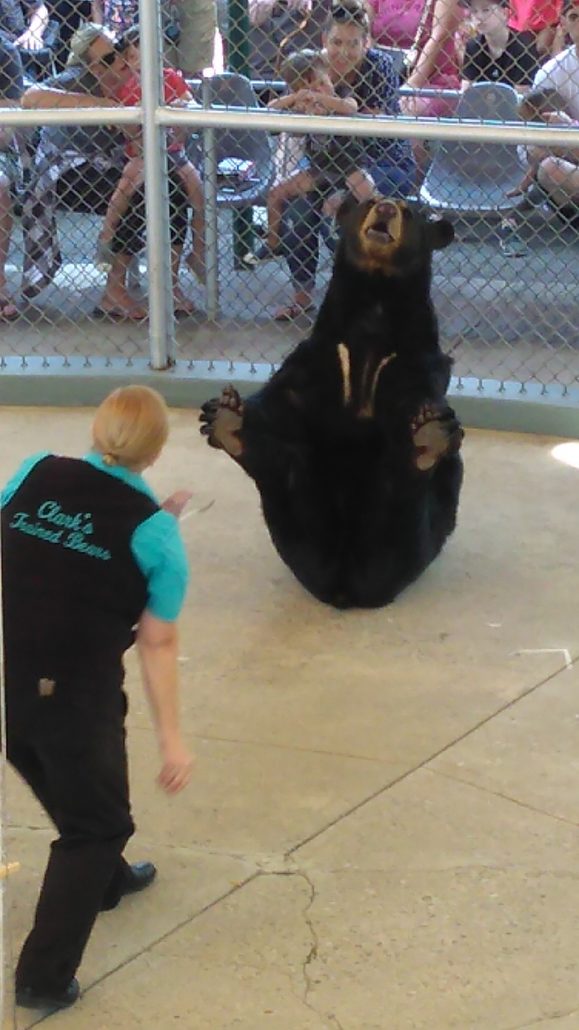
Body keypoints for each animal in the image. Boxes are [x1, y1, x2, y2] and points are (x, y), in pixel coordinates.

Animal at [200, 196, 461, 605]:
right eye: (371, 203)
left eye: (410, 212)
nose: (386, 208)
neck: (375, 300)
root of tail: (344, 584)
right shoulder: (319, 353)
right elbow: (282, 397)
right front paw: (226, 408)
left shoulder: (415, 360)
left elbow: (414, 398)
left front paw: (427, 423)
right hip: (298, 513)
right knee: (281, 463)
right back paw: (229, 424)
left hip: (416, 532)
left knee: (412, 486)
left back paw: (428, 441)